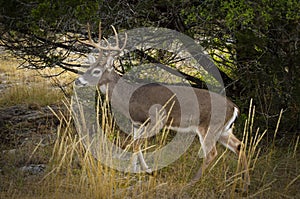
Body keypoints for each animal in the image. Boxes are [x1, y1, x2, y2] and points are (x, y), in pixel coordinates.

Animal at [75, 23, 251, 190]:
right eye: (87, 68)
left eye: (97, 71)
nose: (77, 81)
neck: (129, 97)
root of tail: (234, 108)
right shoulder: (136, 123)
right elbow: (135, 144)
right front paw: (138, 171)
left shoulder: (156, 120)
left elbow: (135, 144)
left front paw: (144, 171)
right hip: (223, 130)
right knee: (240, 146)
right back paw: (244, 183)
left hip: (209, 126)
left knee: (212, 153)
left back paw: (191, 183)